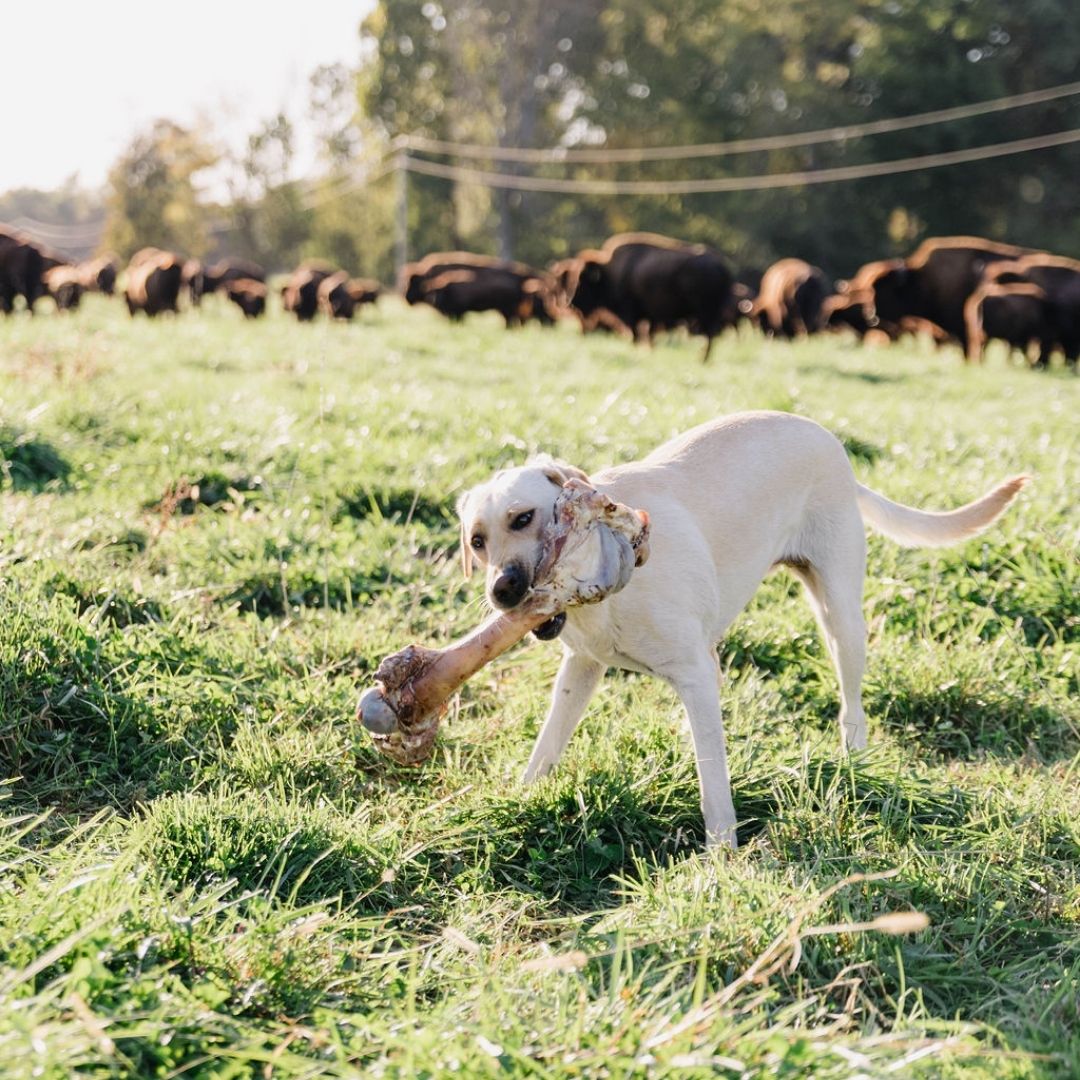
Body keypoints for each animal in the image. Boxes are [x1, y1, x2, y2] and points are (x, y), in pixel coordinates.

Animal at [457, 410, 1028, 842]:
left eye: (524, 518)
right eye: (477, 541)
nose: (502, 592)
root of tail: (828, 439)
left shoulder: (694, 676)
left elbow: (713, 783)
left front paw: (720, 858)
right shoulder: (582, 667)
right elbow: (547, 746)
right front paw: (519, 801)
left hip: (841, 616)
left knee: (852, 706)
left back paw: (856, 765)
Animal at [565, 230, 734, 360]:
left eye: (582, 281)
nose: (571, 303)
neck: (609, 273)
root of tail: (722, 266)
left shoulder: (632, 312)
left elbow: (636, 334)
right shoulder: (650, 315)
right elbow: (648, 334)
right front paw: (650, 352)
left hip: (706, 311)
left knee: (709, 334)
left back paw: (703, 359)